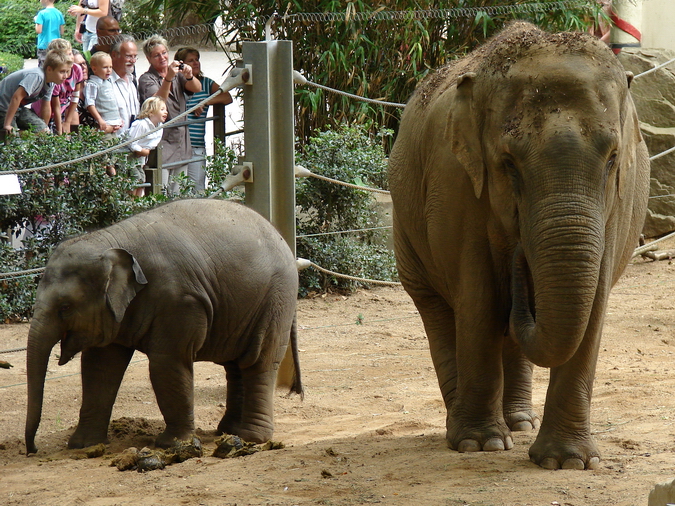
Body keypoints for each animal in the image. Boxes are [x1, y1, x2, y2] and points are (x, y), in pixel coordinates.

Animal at [25, 199, 302, 454]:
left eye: (65, 307)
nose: (33, 450)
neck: (111, 241)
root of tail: (282, 238)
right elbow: (99, 367)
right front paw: (83, 445)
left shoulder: (179, 301)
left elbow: (166, 363)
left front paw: (173, 444)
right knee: (234, 365)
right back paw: (228, 430)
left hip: (276, 299)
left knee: (258, 362)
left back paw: (251, 437)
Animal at [388, 22, 650, 470]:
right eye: (508, 164)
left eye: (613, 158)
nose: (519, 255)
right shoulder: (454, 182)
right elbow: (477, 297)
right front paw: (482, 445)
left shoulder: (619, 200)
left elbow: (593, 305)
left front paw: (569, 462)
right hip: (407, 237)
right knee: (439, 312)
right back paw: (464, 427)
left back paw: (521, 423)